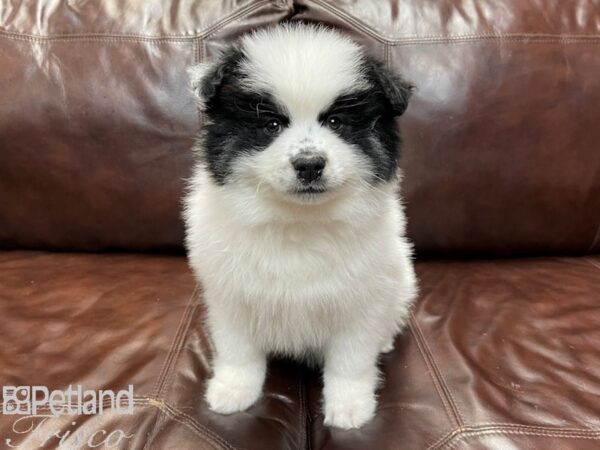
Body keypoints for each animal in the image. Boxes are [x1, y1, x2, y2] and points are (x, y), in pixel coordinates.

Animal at [184, 22, 418, 430]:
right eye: (272, 124)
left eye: (336, 122)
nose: (309, 164)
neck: (298, 220)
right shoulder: (230, 297)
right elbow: (238, 350)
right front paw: (232, 390)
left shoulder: (363, 300)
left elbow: (351, 359)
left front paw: (350, 405)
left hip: (402, 280)